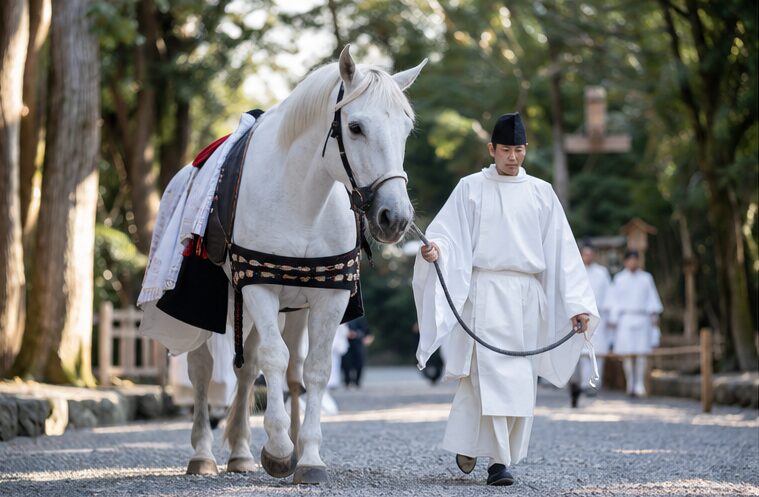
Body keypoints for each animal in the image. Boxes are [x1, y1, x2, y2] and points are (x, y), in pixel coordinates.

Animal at [183, 46, 426, 484]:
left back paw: (241, 451)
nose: (395, 217)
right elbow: (274, 360)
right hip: (213, 300)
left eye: (405, 129)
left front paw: (308, 456)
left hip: (287, 307)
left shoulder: (327, 295)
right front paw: (280, 449)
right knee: (203, 369)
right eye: (356, 127)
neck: (300, 198)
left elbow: (313, 370)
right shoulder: (257, 286)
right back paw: (203, 454)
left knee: (253, 368)